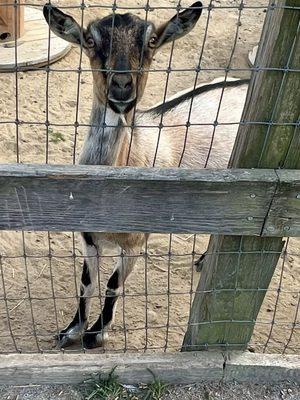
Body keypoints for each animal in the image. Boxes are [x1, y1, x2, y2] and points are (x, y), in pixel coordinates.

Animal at [42, 2, 248, 346]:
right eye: (90, 41)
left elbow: (112, 284)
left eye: (151, 41)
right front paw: (71, 330)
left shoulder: (136, 243)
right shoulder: (87, 239)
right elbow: (86, 282)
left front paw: (96, 334)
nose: (122, 86)